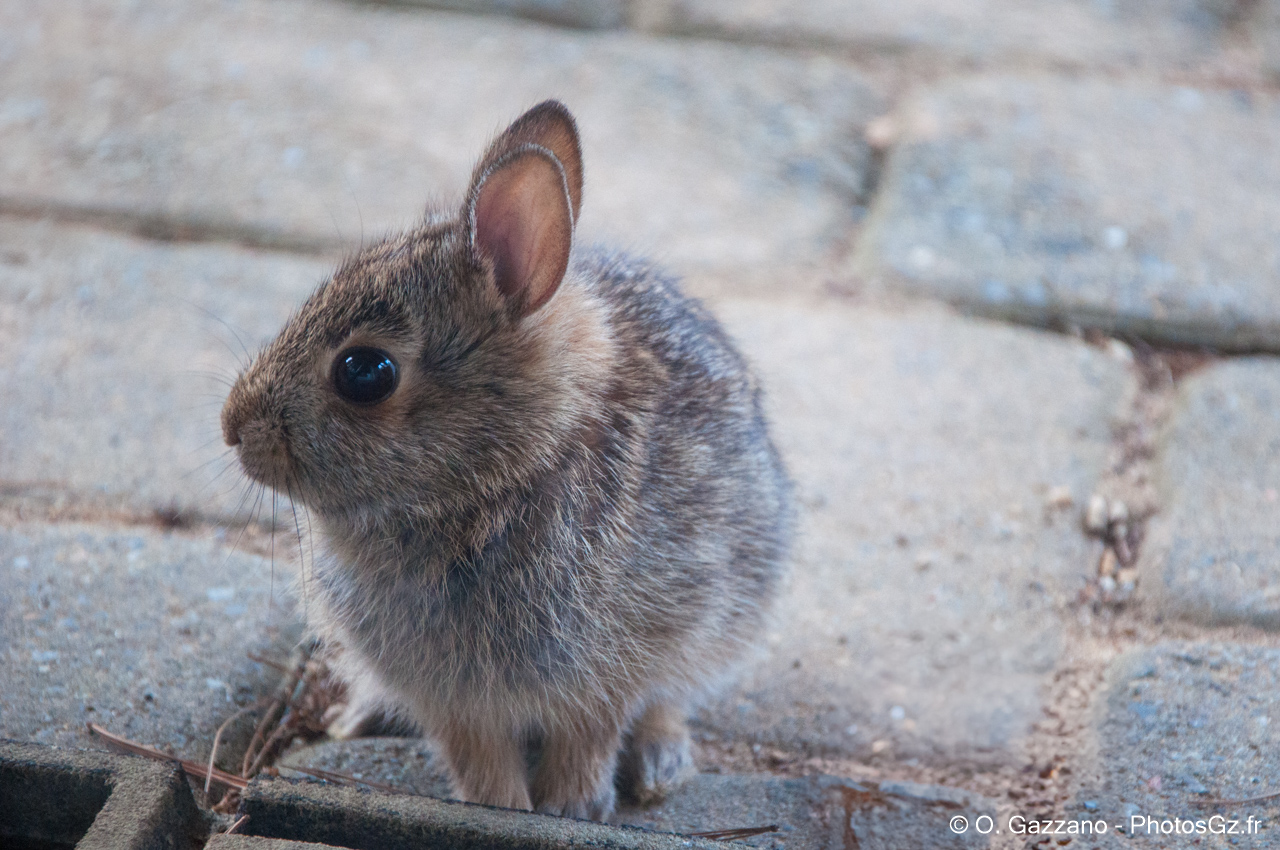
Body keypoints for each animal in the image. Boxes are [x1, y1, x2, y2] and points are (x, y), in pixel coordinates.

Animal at [220, 100, 792, 820]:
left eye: (365, 371)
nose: (233, 427)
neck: (500, 478)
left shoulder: (613, 664)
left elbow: (593, 731)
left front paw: (571, 808)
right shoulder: (454, 700)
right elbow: (479, 758)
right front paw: (503, 809)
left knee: (670, 699)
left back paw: (662, 766)